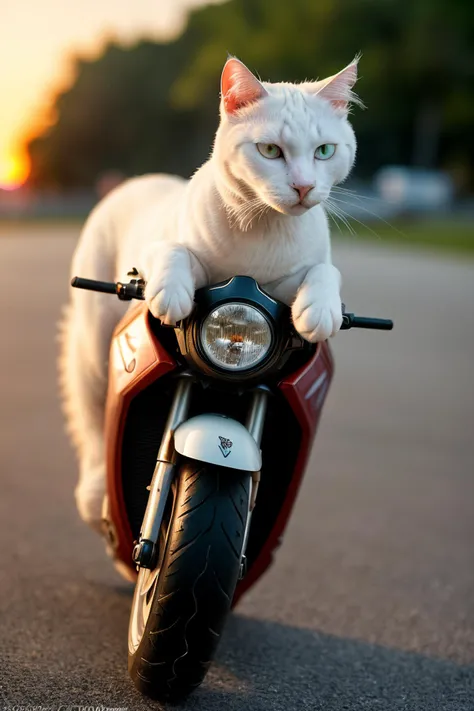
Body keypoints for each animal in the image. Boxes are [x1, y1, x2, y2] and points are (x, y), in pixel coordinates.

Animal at [61, 55, 362, 532]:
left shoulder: (302, 273)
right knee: (91, 427)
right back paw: (94, 500)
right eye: (270, 151)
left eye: (324, 152)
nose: (303, 187)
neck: (261, 232)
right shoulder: (162, 248)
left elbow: (324, 272)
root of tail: (138, 179)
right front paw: (171, 295)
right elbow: (173, 253)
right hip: (91, 350)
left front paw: (320, 311)